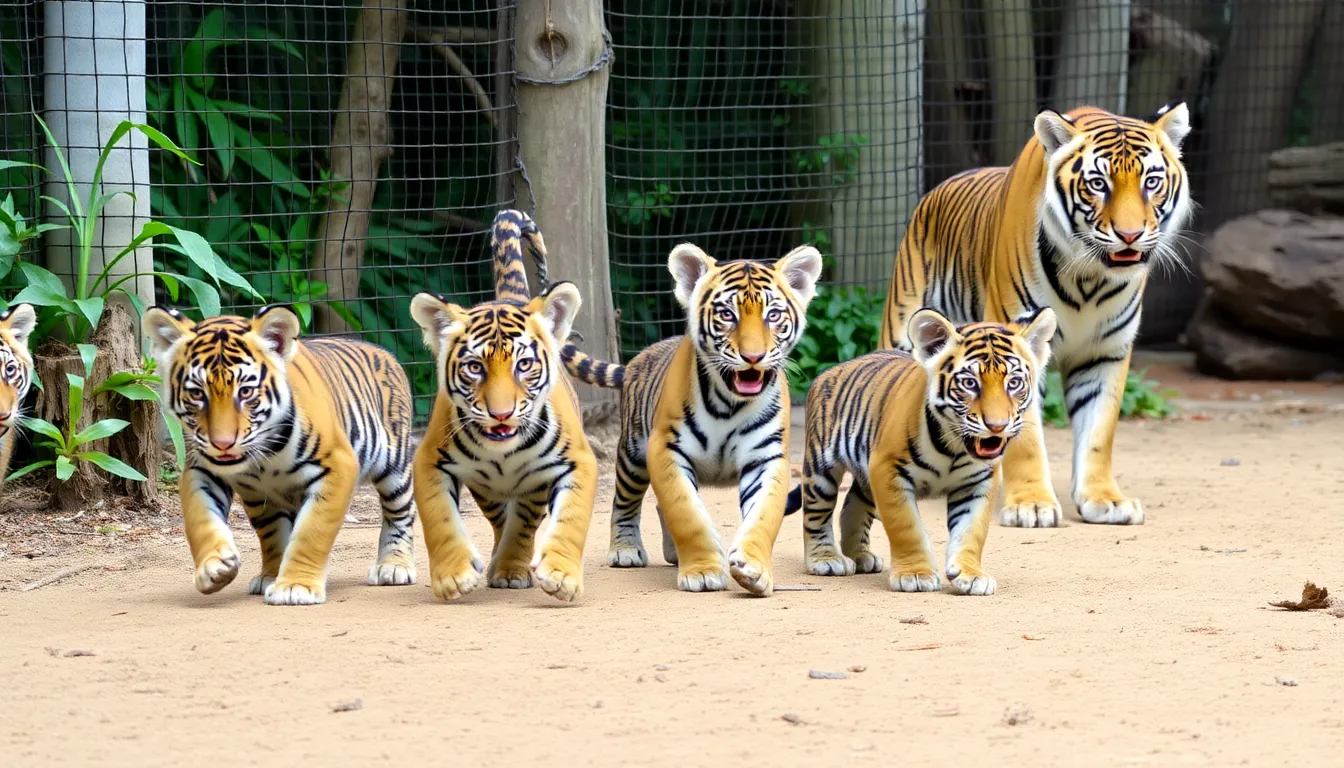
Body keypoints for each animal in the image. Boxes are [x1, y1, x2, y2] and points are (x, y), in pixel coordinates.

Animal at [143, 304, 417, 606]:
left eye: (246, 392)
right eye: (196, 394)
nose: (223, 444)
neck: (264, 456)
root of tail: (383, 351)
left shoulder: (337, 465)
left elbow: (312, 531)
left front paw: (296, 586)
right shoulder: (202, 470)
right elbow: (202, 518)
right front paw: (214, 568)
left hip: (394, 466)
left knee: (400, 513)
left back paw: (394, 566)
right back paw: (269, 574)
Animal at [409, 208, 599, 603]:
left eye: (523, 365)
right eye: (474, 368)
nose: (501, 414)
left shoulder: (578, 462)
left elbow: (569, 520)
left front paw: (561, 576)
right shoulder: (428, 460)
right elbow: (439, 518)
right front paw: (453, 577)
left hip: (531, 487)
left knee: (522, 523)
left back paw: (511, 570)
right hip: (487, 490)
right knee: (500, 521)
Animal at [561, 243, 823, 595]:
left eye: (773, 315)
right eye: (727, 315)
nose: (753, 357)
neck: (730, 404)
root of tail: (637, 359)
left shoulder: (766, 458)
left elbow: (763, 517)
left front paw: (753, 570)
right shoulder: (666, 450)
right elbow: (686, 512)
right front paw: (702, 572)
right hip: (632, 456)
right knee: (624, 502)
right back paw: (625, 550)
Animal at [785, 307, 1056, 595]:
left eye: (1014, 383)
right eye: (970, 383)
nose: (997, 426)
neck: (955, 448)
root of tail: (832, 370)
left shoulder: (979, 482)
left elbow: (972, 530)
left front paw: (971, 575)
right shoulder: (888, 470)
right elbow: (906, 527)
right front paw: (915, 575)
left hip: (864, 475)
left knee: (852, 503)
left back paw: (861, 557)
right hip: (820, 470)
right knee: (816, 514)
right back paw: (826, 559)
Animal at [879, 102, 1192, 529]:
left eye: (1152, 181)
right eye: (1098, 184)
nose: (1130, 235)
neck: (1090, 277)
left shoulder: (1104, 354)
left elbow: (1099, 433)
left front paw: (1105, 500)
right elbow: (1026, 439)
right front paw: (1031, 505)